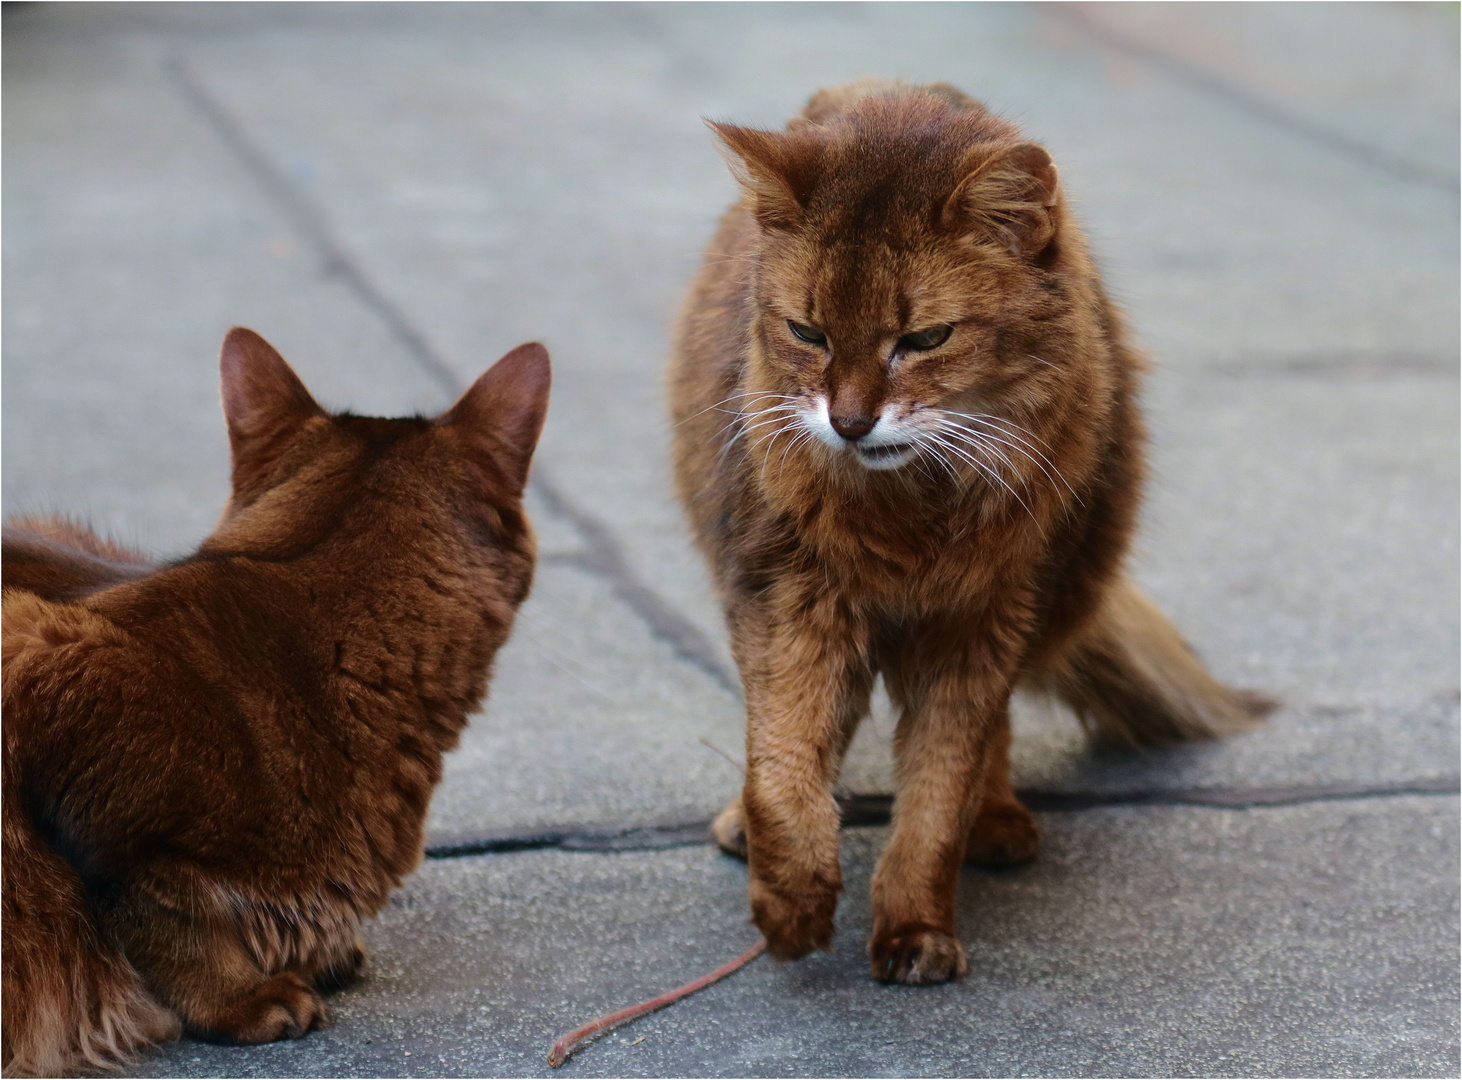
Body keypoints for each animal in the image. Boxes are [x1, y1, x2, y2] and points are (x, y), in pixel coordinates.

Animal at [672, 80, 1269, 982]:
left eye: (924, 339)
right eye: (808, 333)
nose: (849, 423)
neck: (907, 509)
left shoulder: (984, 616)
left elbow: (941, 789)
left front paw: (915, 927)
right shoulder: (787, 599)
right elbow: (783, 760)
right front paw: (791, 903)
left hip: (1060, 581)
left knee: (996, 735)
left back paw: (999, 820)